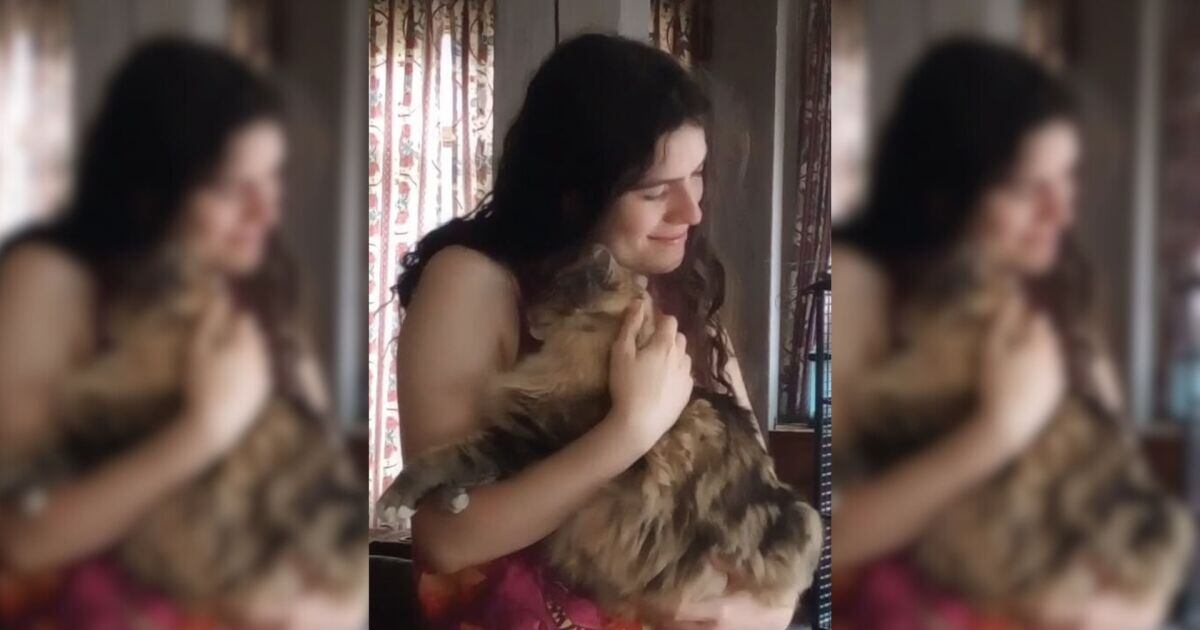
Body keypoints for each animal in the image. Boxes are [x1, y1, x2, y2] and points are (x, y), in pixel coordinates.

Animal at [376, 245, 824, 621]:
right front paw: (452, 499)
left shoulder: (529, 437)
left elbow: (446, 457)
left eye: (555, 290)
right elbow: (463, 465)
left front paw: (395, 500)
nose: (528, 311)